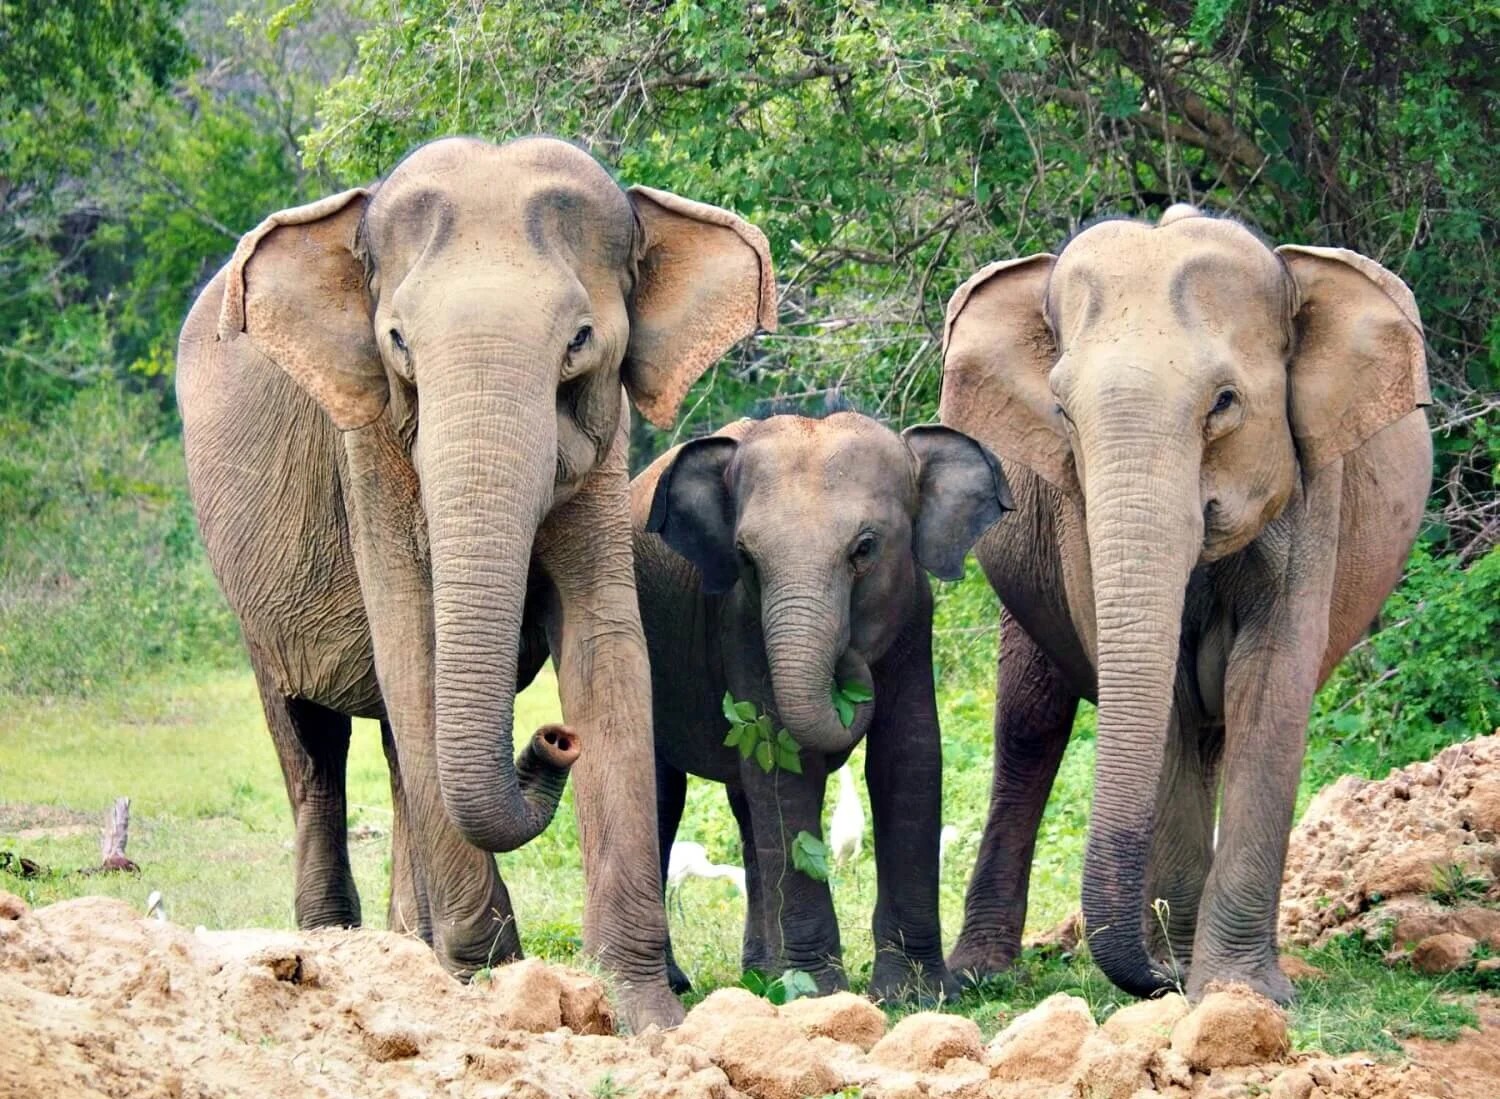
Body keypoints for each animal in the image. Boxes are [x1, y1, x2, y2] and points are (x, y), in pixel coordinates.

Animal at [174, 135, 777, 1029]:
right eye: (397, 342)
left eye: (580, 339)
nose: (553, 739)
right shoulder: (369, 449)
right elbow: (411, 641)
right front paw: (490, 980)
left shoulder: (605, 447)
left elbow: (606, 642)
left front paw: (644, 1012)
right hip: (253, 595)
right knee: (311, 742)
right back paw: (335, 945)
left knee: (394, 749)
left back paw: (409, 946)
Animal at [632, 412, 1013, 1000]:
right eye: (745, 558)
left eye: (865, 548)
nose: (850, 661)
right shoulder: (740, 622)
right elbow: (783, 763)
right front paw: (817, 994)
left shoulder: (914, 613)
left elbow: (909, 757)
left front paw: (917, 995)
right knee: (664, 791)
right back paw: (688, 983)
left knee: (746, 810)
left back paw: (763, 974)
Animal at [939, 204, 1432, 1003]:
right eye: (1060, 411)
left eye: (1224, 403)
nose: (1160, 978)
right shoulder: (1075, 514)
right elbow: (1164, 695)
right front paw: (1191, 976)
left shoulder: (1313, 487)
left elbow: (1269, 681)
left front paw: (1238, 991)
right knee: (1030, 724)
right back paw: (984, 973)